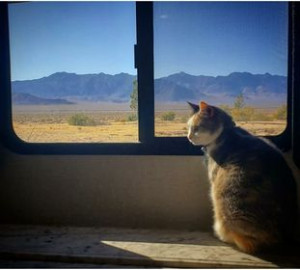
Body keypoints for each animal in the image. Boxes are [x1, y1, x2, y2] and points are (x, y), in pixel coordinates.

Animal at [188, 100, 298, 253]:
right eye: (189, 127)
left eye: (196, 128)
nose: (188, 137)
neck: (226, 132)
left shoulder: (213, 180)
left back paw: (222, 236)